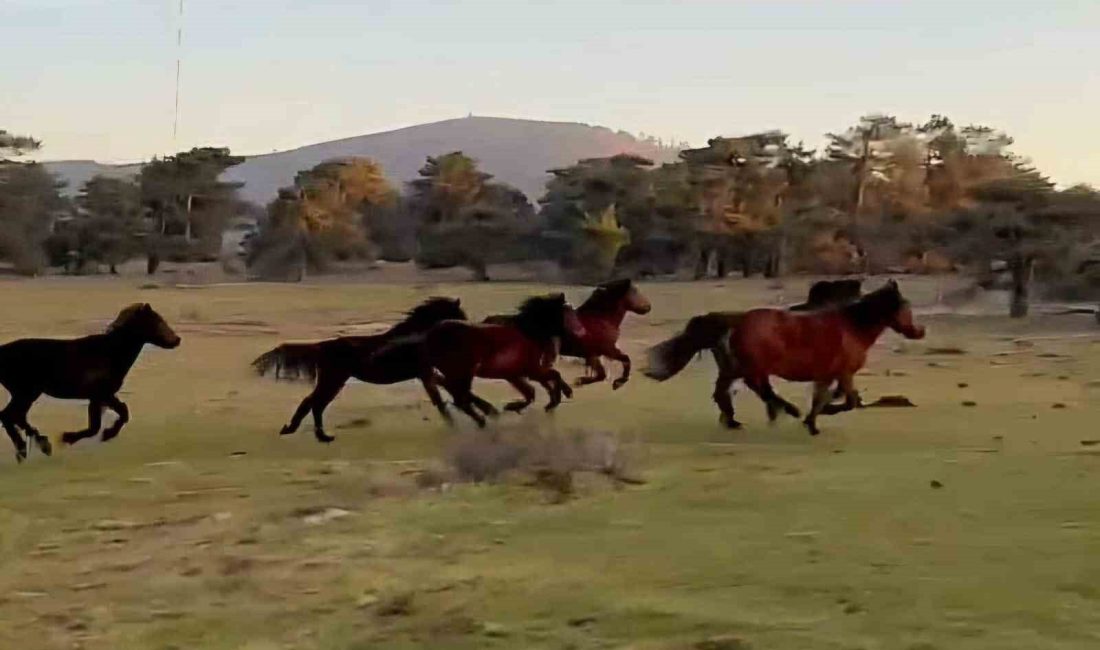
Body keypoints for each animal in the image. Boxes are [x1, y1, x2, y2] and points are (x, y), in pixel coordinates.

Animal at [0, 303, 182, 459]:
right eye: (157, 321)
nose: (177, 339)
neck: (111, 353)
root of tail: (2, 351)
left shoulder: (103, 397)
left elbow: (120, 414)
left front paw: (106, 434)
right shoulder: (100, 395)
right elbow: (98, 425)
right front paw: (69, 437)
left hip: (27, 393)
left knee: (16, 416)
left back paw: (38, 446)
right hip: (25, 392)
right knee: (9, 416)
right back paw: (27, 449)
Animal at [253, 296, 468, 444]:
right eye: (459, 315)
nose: (468, 328)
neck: (416, 337)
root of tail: (321, 346)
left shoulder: (426, 374)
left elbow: (442, 396)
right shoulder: (425, 373)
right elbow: (439, 400)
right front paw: (454, 426)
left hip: (334, 381)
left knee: (316, 404)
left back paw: (315, 435)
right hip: (333, 380)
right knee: (314, 403)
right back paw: (312, 434)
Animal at [413, 294, 585, 426]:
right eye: (569, 313)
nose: (582, 331)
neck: (527, 333)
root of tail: (430, 335)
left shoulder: (517, 374)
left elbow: (532, 391)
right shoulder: (530, 370)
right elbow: (551, 377)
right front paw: (557, 399)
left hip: (456, 374)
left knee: (453, 391)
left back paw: (484, 415)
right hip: (462, 373)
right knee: (459, 397)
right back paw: (483, 420)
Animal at [642, 281, 928, 435]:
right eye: (905, 306)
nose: (919, 331)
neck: (852, 327)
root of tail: (736, 321)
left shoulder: (828, 375)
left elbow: (825, 397)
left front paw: (812, 422)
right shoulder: (844, 373)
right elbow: (849, 402)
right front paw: (816, 418)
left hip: (738, 367)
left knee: (727, 392)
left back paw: (735, 420)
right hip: (751, 367)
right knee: (754, 389)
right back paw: (782, 411)